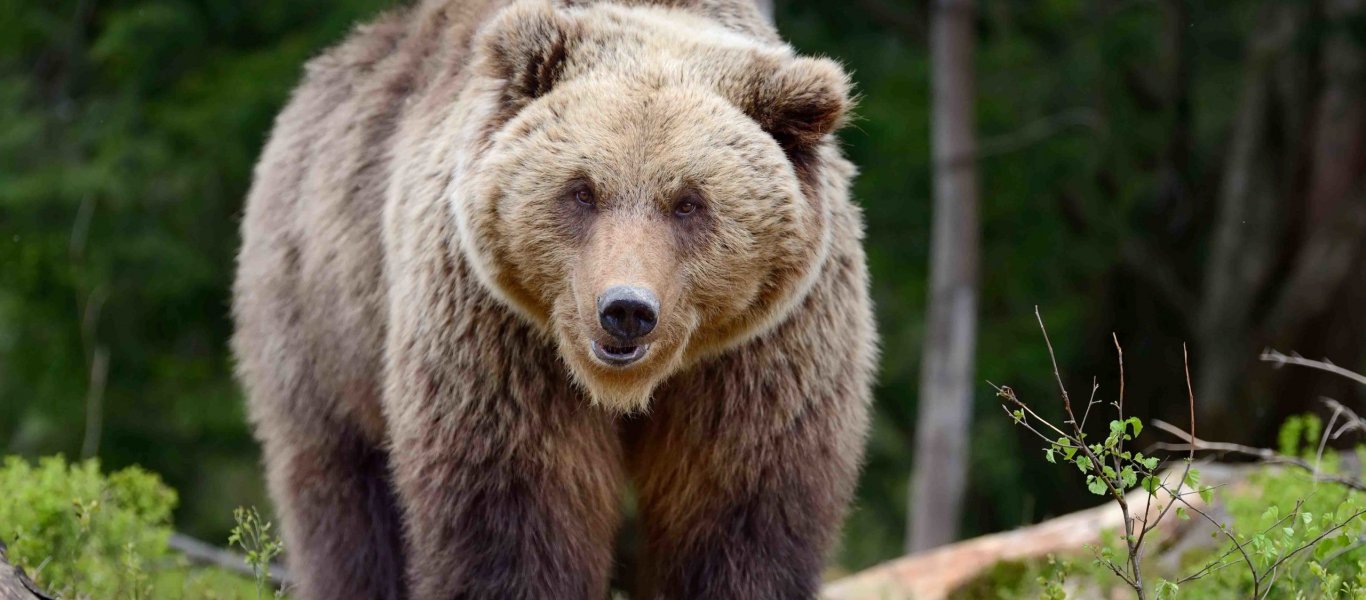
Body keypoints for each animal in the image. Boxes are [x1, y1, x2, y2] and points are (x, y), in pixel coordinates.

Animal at [232, 1, 874, 600]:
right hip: (320, 313)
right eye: (582, 191)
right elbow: (513, 510)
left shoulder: (761, 357)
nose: (626, 310)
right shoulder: (499, 336)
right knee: (343, 493)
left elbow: (741, 513)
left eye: (689, 202)